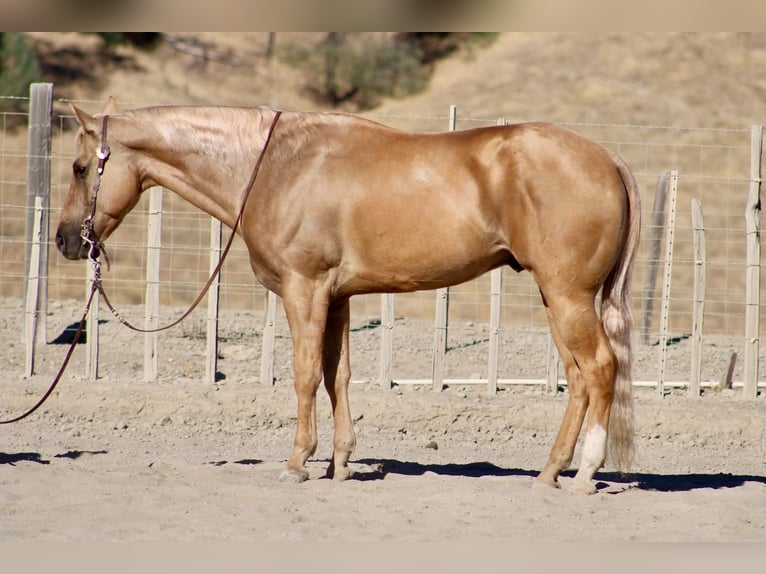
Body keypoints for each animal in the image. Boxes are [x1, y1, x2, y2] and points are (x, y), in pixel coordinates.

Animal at [56, 99, 641, 494]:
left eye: (80, 167)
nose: (66, 240)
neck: (275, 166)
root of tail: (608, 159)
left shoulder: (304, 289)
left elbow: (305, 373)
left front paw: (298, 462)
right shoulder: (336, 297)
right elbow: (337, 375)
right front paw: (340, 463)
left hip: (567, 295)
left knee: (599, 369)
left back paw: (585, 473)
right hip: (555, 298)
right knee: (579, 379)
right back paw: (549, 473)